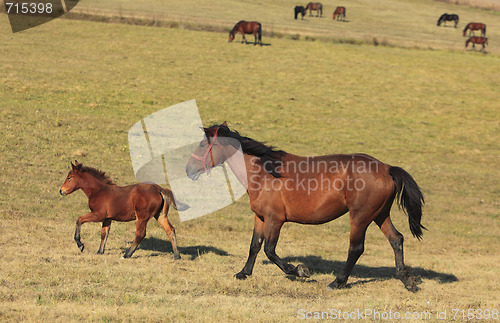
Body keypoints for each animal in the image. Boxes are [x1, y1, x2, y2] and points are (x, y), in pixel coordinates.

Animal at [60, 162, 188, 260]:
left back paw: (126, 255)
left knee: (140, 234)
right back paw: (177, 256)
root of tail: (159, 189)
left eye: (69, 178)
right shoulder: (107, 218)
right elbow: (104, 234)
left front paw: (80, 244)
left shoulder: (98, 215)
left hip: (142, 217)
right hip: (160, 215)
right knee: (170, 230)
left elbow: (79, 219)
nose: (61, 191)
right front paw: (100, 251)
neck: (99, 191)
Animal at [188, 123, 426, 292]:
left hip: (360, 217)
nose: (188, 169)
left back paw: (337, 282)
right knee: (396, 239)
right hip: (379, 215)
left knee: (356, 248)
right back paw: (407, 280)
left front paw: (299, 270)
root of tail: (386, 168)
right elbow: (254, 246)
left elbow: (269, 250)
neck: (264, 173)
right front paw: (244, 273)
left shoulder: (275, 219)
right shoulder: (260, 217)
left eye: (202, 145)